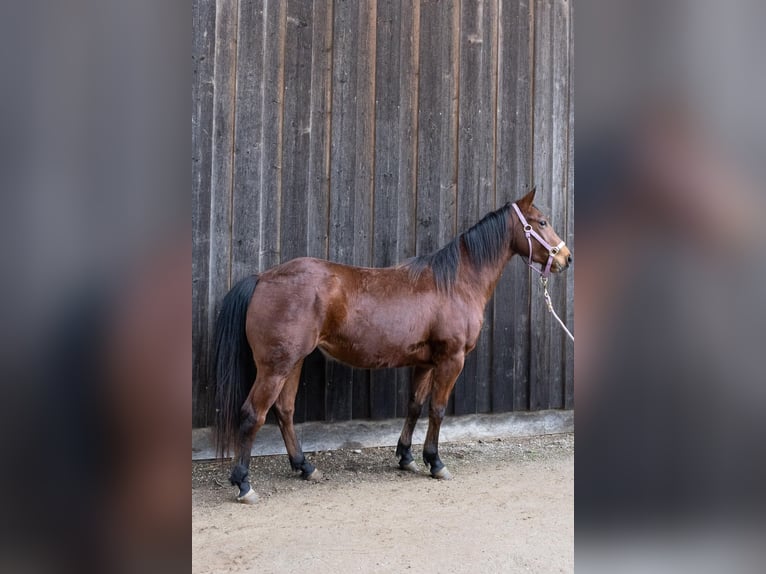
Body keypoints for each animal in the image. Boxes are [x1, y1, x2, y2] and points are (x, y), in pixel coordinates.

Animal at [212, 187, 571, 503]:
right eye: (541, 222)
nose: (566, 258)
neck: (455, 283)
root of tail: (262, 278)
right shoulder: (451, 359)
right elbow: (437, 410)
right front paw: (435, 462)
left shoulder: (425, 362)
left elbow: (414, 405)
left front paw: (406, 457)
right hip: (276, 366)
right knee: (253, 414)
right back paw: (244, 484)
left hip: (294, 362)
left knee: (284, 411)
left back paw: (305, 467)